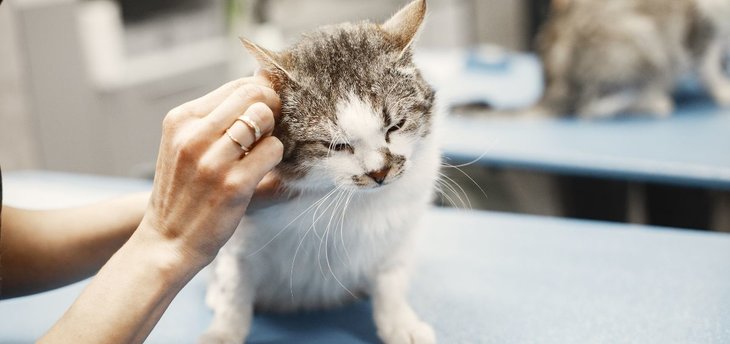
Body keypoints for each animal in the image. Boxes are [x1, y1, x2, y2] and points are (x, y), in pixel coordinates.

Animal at [199, 0, 438, 344]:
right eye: (336, 145)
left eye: (396, 126)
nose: (380, 172)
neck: (345, 200)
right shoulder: (240, 240)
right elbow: (235, 289)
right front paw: (224, 330)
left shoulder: (397, 236)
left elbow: (391, 279)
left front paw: (400, 323)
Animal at [528, 0, 728, 118]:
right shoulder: (697, 25)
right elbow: (709, 68)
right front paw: (724, 91)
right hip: (641, 39)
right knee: (591, 108)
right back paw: (655, 101)